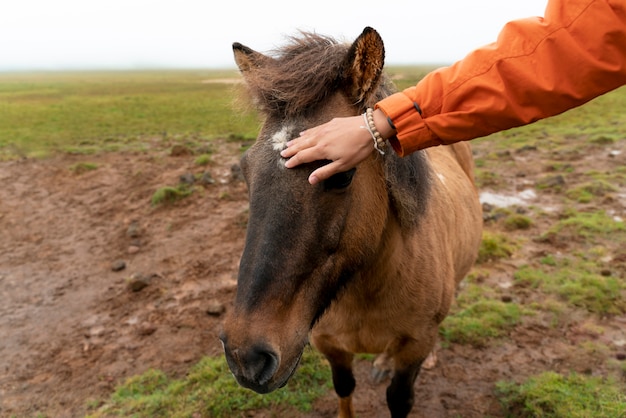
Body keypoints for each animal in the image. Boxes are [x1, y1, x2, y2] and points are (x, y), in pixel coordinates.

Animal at [219, 27, 482, 418]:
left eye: (340, 175)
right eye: (244, 170)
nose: (246, 357)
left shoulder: (415, 347)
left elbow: (399, 399)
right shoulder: (329, 345)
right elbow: (344, 387)